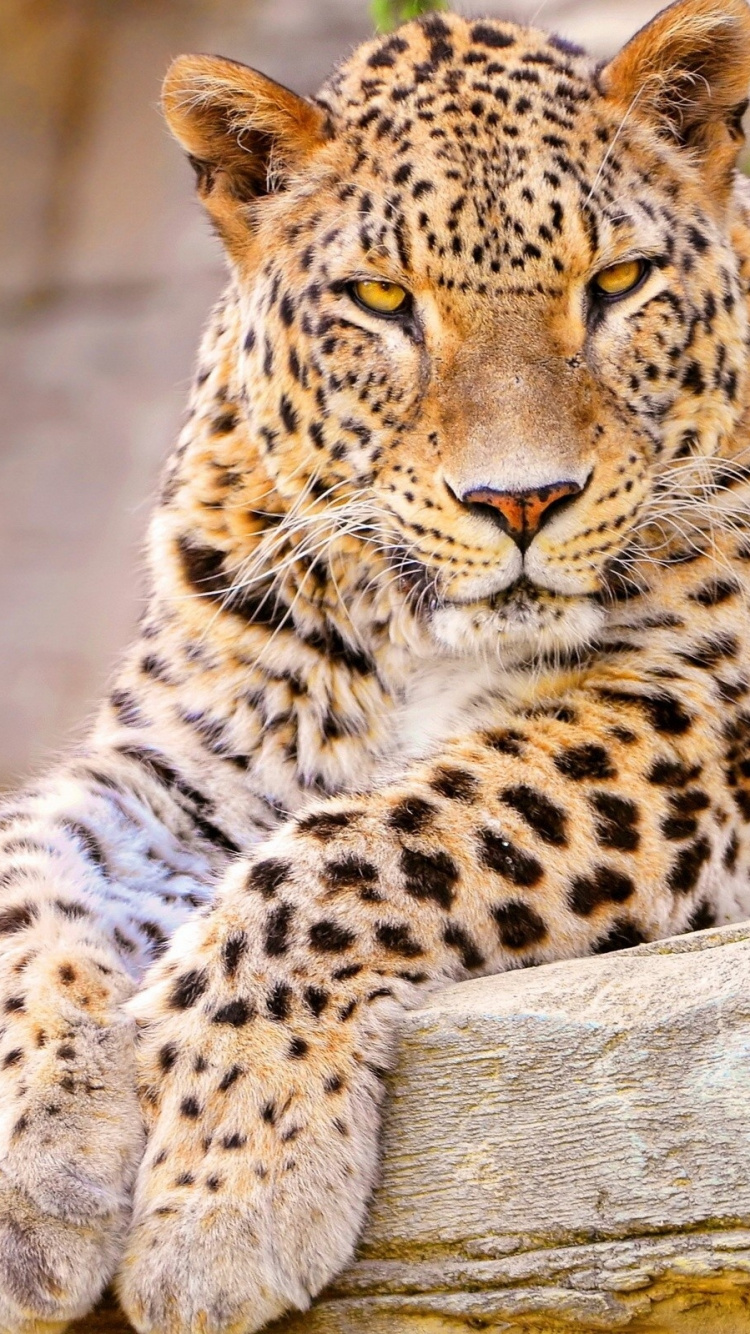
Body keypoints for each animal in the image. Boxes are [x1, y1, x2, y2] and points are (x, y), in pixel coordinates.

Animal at [2, 0, 750, 1330]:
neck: (418, 636)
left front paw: (227, 1189)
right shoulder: (169, 769)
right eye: (381, 298)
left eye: (616, 283)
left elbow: (373, 838)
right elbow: (26, 872)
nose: (522, 501)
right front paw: (44, 1173)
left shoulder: (706, 707)